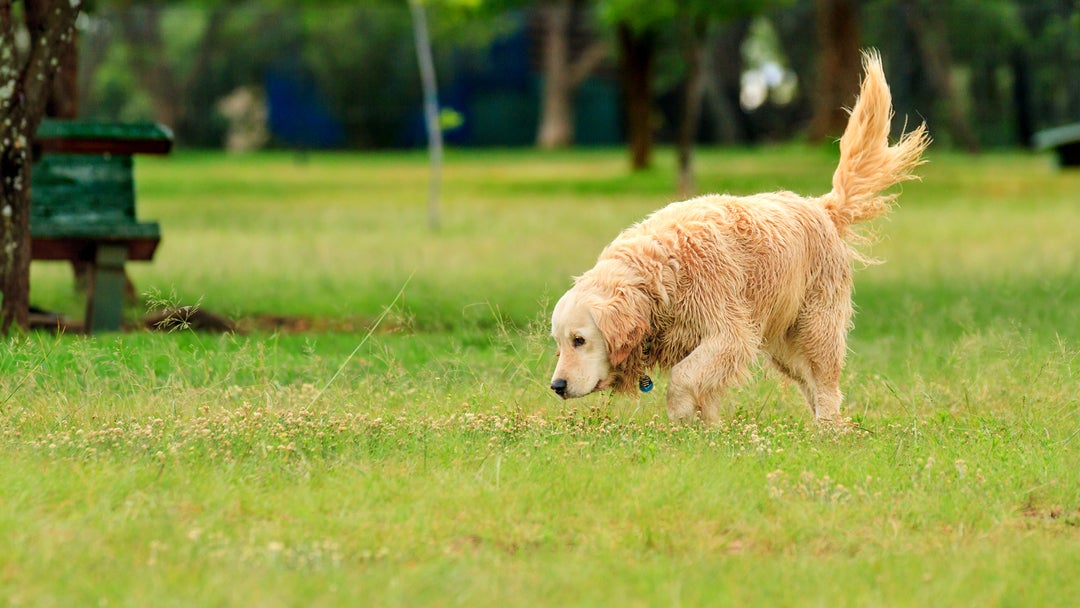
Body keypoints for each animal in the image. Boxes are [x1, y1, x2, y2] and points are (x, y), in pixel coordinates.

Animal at [548, 51, 928, 423]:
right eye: (560, 343)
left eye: (579, 340)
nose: (557, 386)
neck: (659, 274)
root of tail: (820, 206)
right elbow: (703, 392)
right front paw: (708, 430)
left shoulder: (730, 334)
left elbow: (683, 378)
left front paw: (681, 417)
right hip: (784, 347)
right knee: (810, 384)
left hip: (815, 329)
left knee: (826, 386)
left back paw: (829, 430)